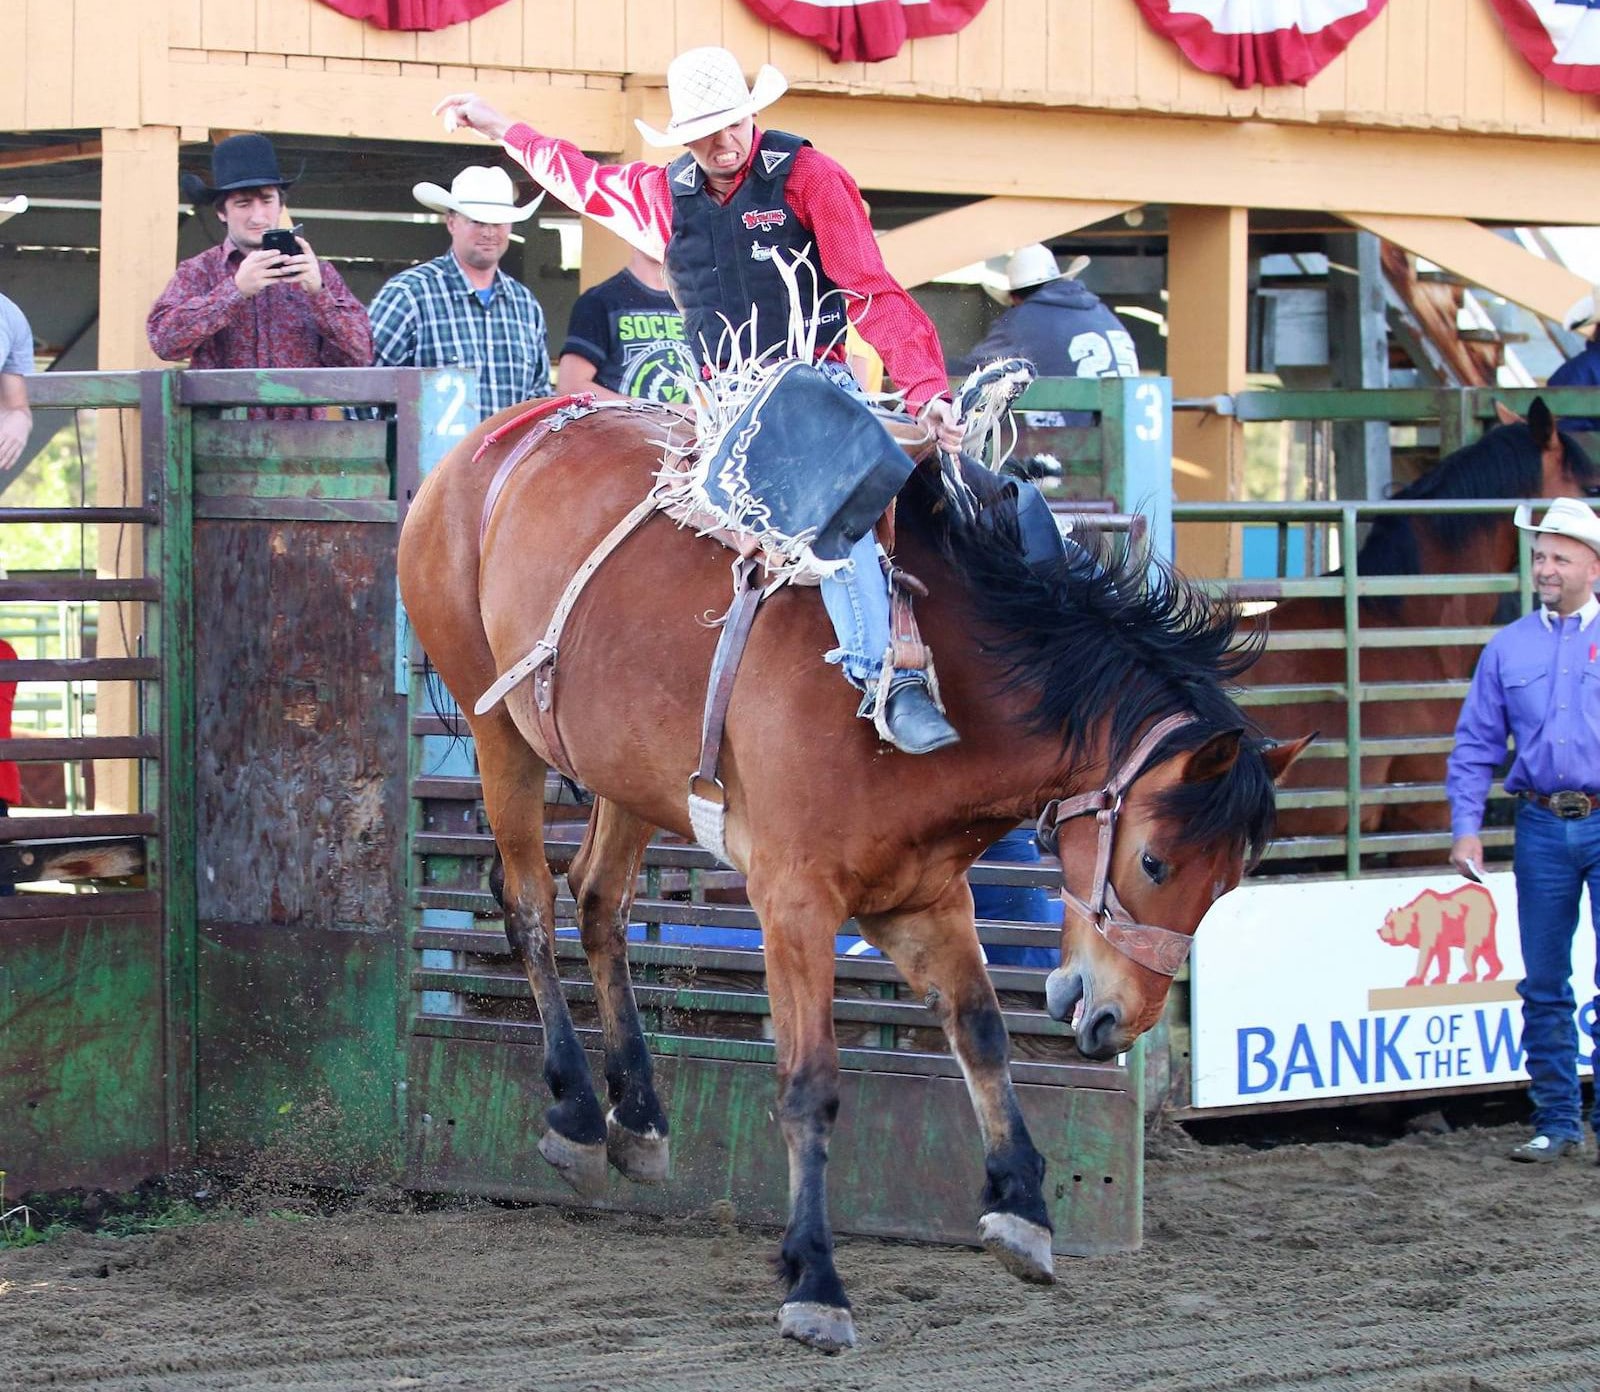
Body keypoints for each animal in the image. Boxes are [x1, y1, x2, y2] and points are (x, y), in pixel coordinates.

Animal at [400, 398, 1312, 1356]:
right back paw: (576, 1109)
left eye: (1227, 884)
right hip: (499, 724)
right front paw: (815, 1283)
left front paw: (1022, 1208)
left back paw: (639, 1116)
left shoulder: (925, 897)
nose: (1114, 1022)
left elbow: (982, 1034)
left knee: (601, 900)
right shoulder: (794, 903)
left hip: (623, 768)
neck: (948, 680)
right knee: (529, 903)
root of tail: (490, 441)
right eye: (1154, 860)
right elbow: (811, 1086)